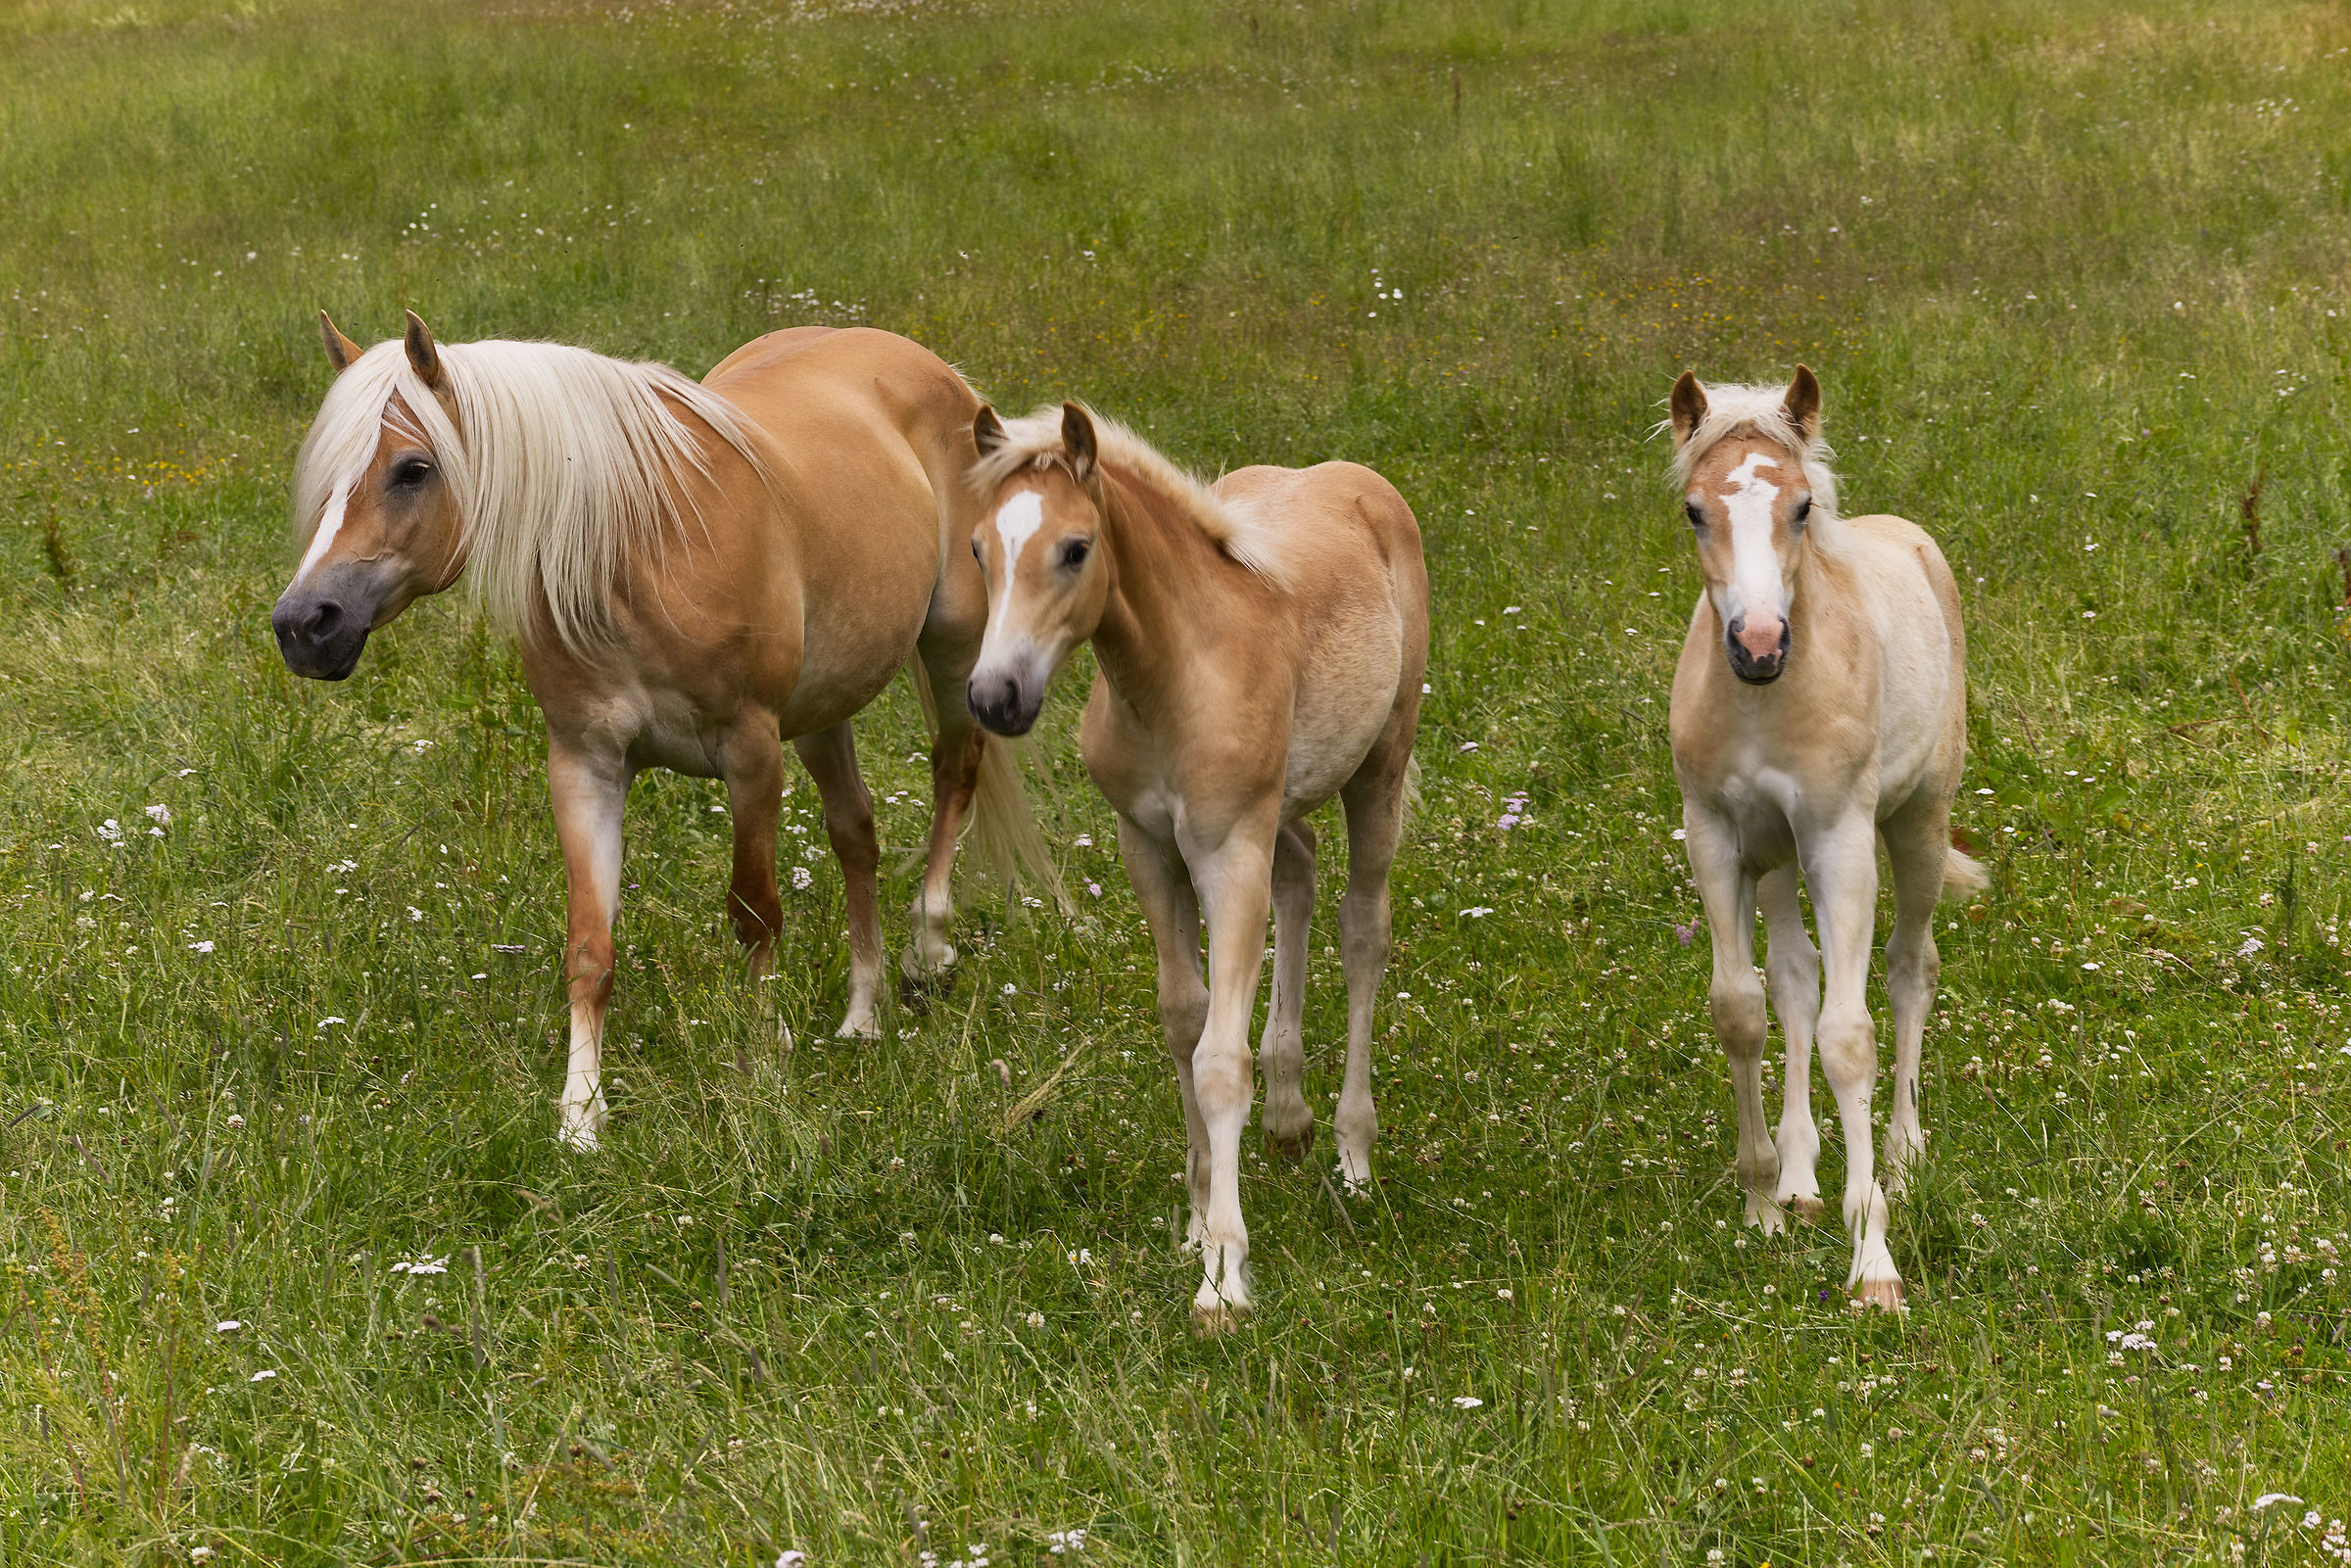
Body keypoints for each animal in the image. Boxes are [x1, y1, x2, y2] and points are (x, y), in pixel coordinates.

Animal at [272, 311, 1061, 1150]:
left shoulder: (751, 753)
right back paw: (860, 1015)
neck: (642, 550)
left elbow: (755, 912)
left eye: (413, 469)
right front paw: (581, 1114)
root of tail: (934, 371)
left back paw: (929, 947)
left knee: (955, 771)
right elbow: (590, 946)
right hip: (822, 710)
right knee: (857, 833)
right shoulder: (585, 764)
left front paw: (763, 1061)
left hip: (950, 647)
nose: (303, 624)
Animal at [962, 401, 1426, 1331]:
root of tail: (1364, 484)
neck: (1177, 672)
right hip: (1285, 805)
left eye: (1076, 548)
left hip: (1378, 773)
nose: (996, 697)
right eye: (978, 549)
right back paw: (1288, 1113)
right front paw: (1195, 1216)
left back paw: (1354, 1154)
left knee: (1363, 929)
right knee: (1301, 877)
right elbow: (1184, 1018)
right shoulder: (1148, 847)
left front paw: (1223, 1274)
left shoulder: (1227, 850)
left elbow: (1218, 1058)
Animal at [1664, 365, 1985, 1310]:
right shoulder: (1717, 837)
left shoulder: (1841, 840)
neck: (1766, 704)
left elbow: (1851, 1037)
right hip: (1778, 858)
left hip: (1915, 827)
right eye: (1695, 511)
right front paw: (1764, 1201)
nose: (1759, 644)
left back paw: (1906, 1156)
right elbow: (1742, 1009)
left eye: (1802, 506)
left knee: (1912, 967)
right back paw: (1802, 1176)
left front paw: (1873, 1257)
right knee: (1796, 978)